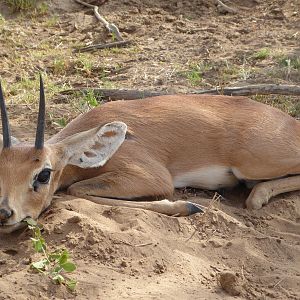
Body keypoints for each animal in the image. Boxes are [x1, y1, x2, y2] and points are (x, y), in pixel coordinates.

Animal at [0, 76, 300, 233]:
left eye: (44, 174)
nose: (4, 212)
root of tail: (287, 121)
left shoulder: (153, 177)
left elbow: (77, 190)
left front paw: (189, 206)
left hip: (255, 163)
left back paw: (258, 196)